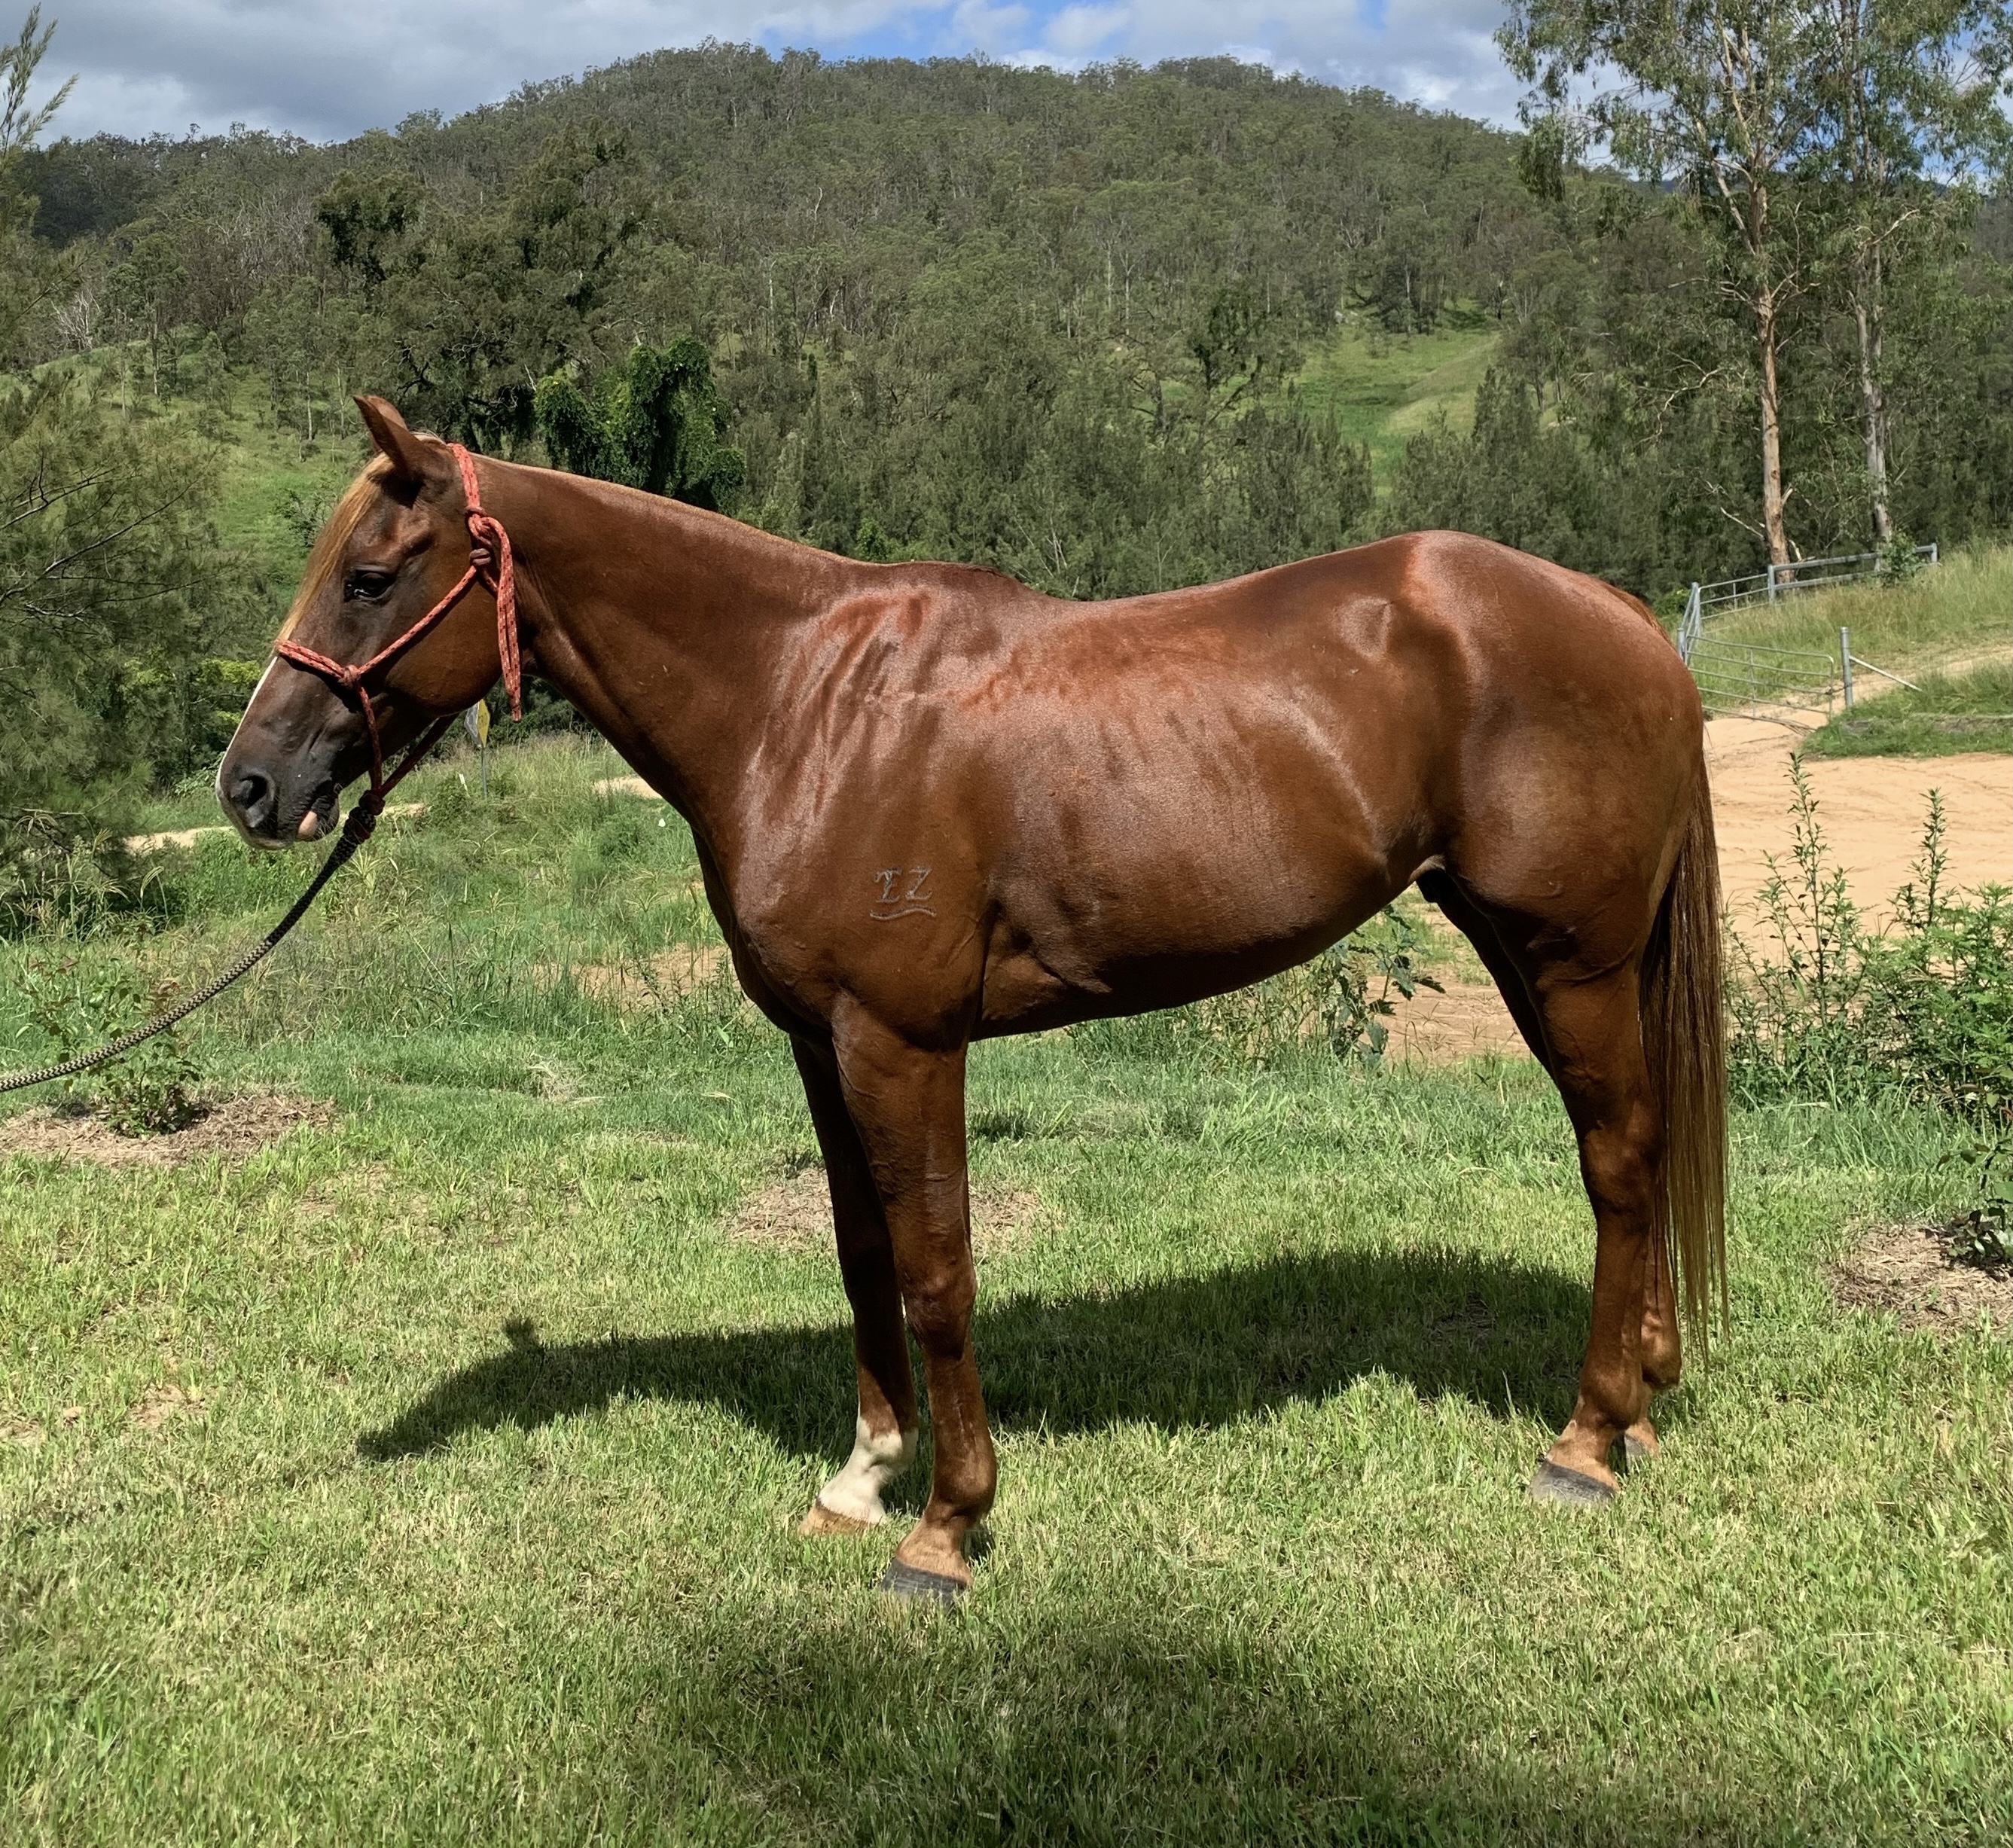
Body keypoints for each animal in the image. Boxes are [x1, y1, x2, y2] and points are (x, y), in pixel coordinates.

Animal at [219, 396, 1725, 1603]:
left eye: (368, 578)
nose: (251, 785)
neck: (806, 702)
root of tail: (1623, 618)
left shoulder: (903, 1043)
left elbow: (938, 1265)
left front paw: (945, 1525)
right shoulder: (821, 1045)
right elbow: (860, 1253)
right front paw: (861, 1475)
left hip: (1569, 961)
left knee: (1618, 1159)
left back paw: (1585, 1441)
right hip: (1535, 957)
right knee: (1634, 1152)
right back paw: (1643, 1403)